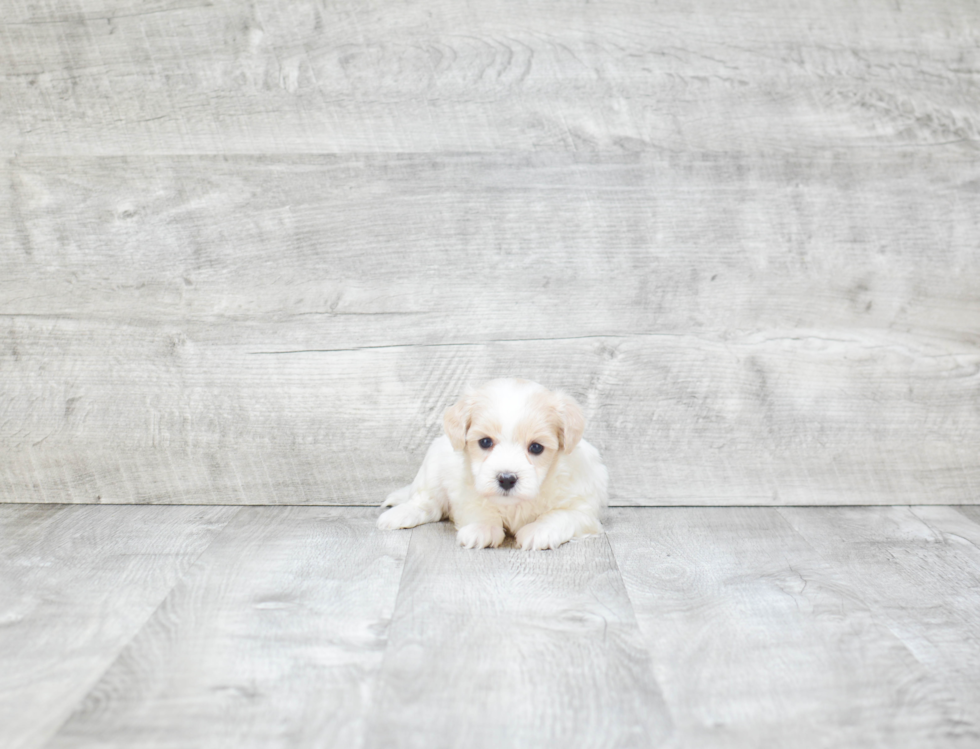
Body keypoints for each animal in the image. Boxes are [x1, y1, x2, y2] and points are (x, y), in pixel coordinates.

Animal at [376, 380, 604, 548]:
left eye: (536, 447)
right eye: (485, 442)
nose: (507, 479)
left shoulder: (582, 509)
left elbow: (561, 515)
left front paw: (539, 531)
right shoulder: (467, 492)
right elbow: (480, 508)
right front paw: (481, 529)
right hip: (432, 470)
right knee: (427, 503)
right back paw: (399, 514)